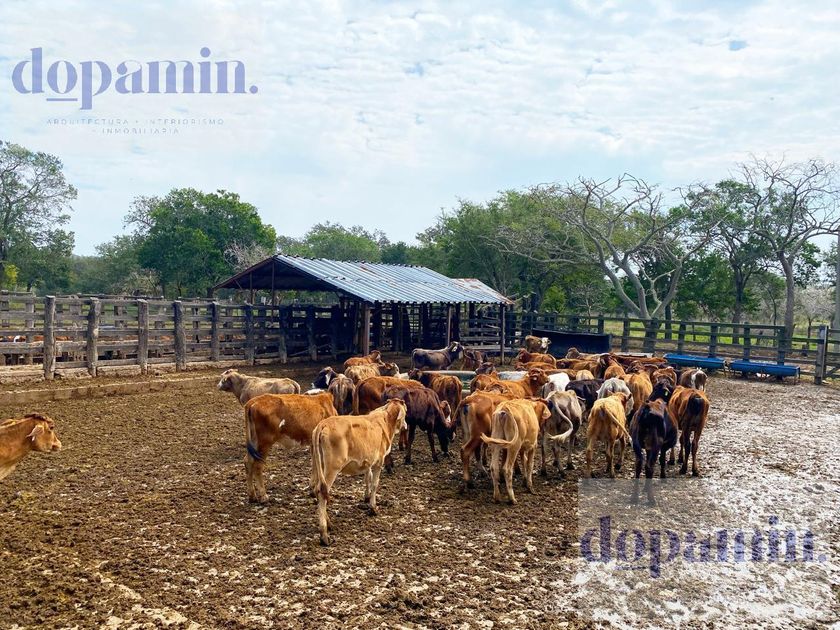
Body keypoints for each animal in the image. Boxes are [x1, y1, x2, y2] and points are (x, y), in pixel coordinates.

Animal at [312, 399, 407, 545]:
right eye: (406, 412)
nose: (406, 426)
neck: (386, 421)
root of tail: (323, 424)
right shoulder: (378, 462)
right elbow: (375, 484)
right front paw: (373, 508)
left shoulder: (369, 461)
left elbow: (367, 478)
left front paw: (366, 497)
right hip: (332, 468)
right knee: (321, 492)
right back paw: (324, 535)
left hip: (320, 467)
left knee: (319, 490)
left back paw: (329, 524)